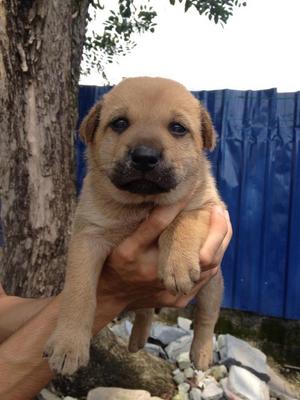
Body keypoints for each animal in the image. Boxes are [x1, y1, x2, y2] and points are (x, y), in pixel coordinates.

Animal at [43, 77, 224, 376]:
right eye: (119, 123)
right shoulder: (88, 238)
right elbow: (79, 293)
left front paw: (177, 263)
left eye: (178, 128)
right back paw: (138, 340)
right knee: (145, 310)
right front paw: (68, 345)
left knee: (206, 317)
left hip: (212, 283)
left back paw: (201, 354)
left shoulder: (206, 206)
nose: (145, 157)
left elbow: (182, 219)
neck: (142, 204)